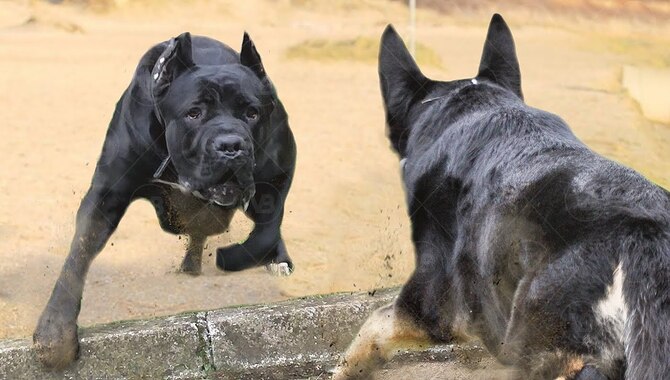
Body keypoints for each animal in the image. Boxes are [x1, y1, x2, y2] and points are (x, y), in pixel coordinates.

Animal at [34, 31, 296, 370]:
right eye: (193, 113)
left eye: (252, 113)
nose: (230, 145)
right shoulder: (106, 196)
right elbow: (77, 257)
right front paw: (55, 336)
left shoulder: (277, 175)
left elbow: (265, 231)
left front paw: (238, 256)